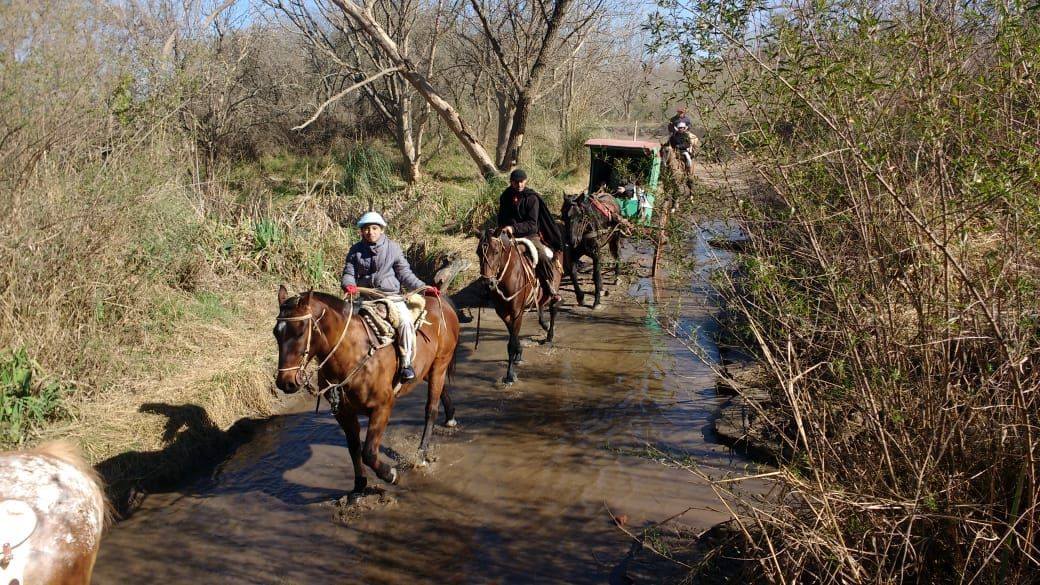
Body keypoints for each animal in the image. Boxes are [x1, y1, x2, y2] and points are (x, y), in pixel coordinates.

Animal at [274, 287, 457, 491]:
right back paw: (450, 417)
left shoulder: (382, 407)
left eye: (300, 331)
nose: (285, 382)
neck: (353, 355)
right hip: (427, 369)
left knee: (431, 409)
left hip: (440, 365)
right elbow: (354, 447)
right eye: (275, 333)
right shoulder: (343, 413)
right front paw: (359, 487)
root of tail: (441, 301)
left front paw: (391, 475)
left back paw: (420, 455)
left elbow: (368, 453)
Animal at [476, 230, 561, 385]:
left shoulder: (517, 313)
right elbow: (513, 339)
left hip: (554, 288)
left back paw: (549, 336)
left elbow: (511, 344)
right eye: (478, 252)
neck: (508, 277)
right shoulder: (504, 314)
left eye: (496, 252)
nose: (487, 283)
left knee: (553, 309)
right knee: (541, 306)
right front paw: (519, 353)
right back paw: (545, 326)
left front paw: (510, 375)